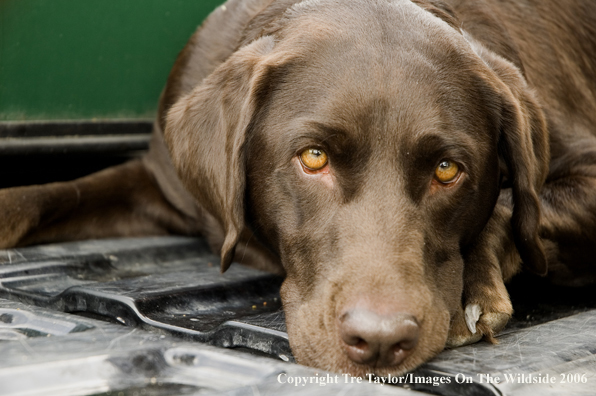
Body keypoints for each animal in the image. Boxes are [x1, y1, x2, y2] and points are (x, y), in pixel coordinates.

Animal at [1, 0, 596, 378]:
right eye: (313, 158)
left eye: (448, 169)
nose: (380, 341)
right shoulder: (158, 182)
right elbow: (45, 198)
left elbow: (514, 207)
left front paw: (474, 289)